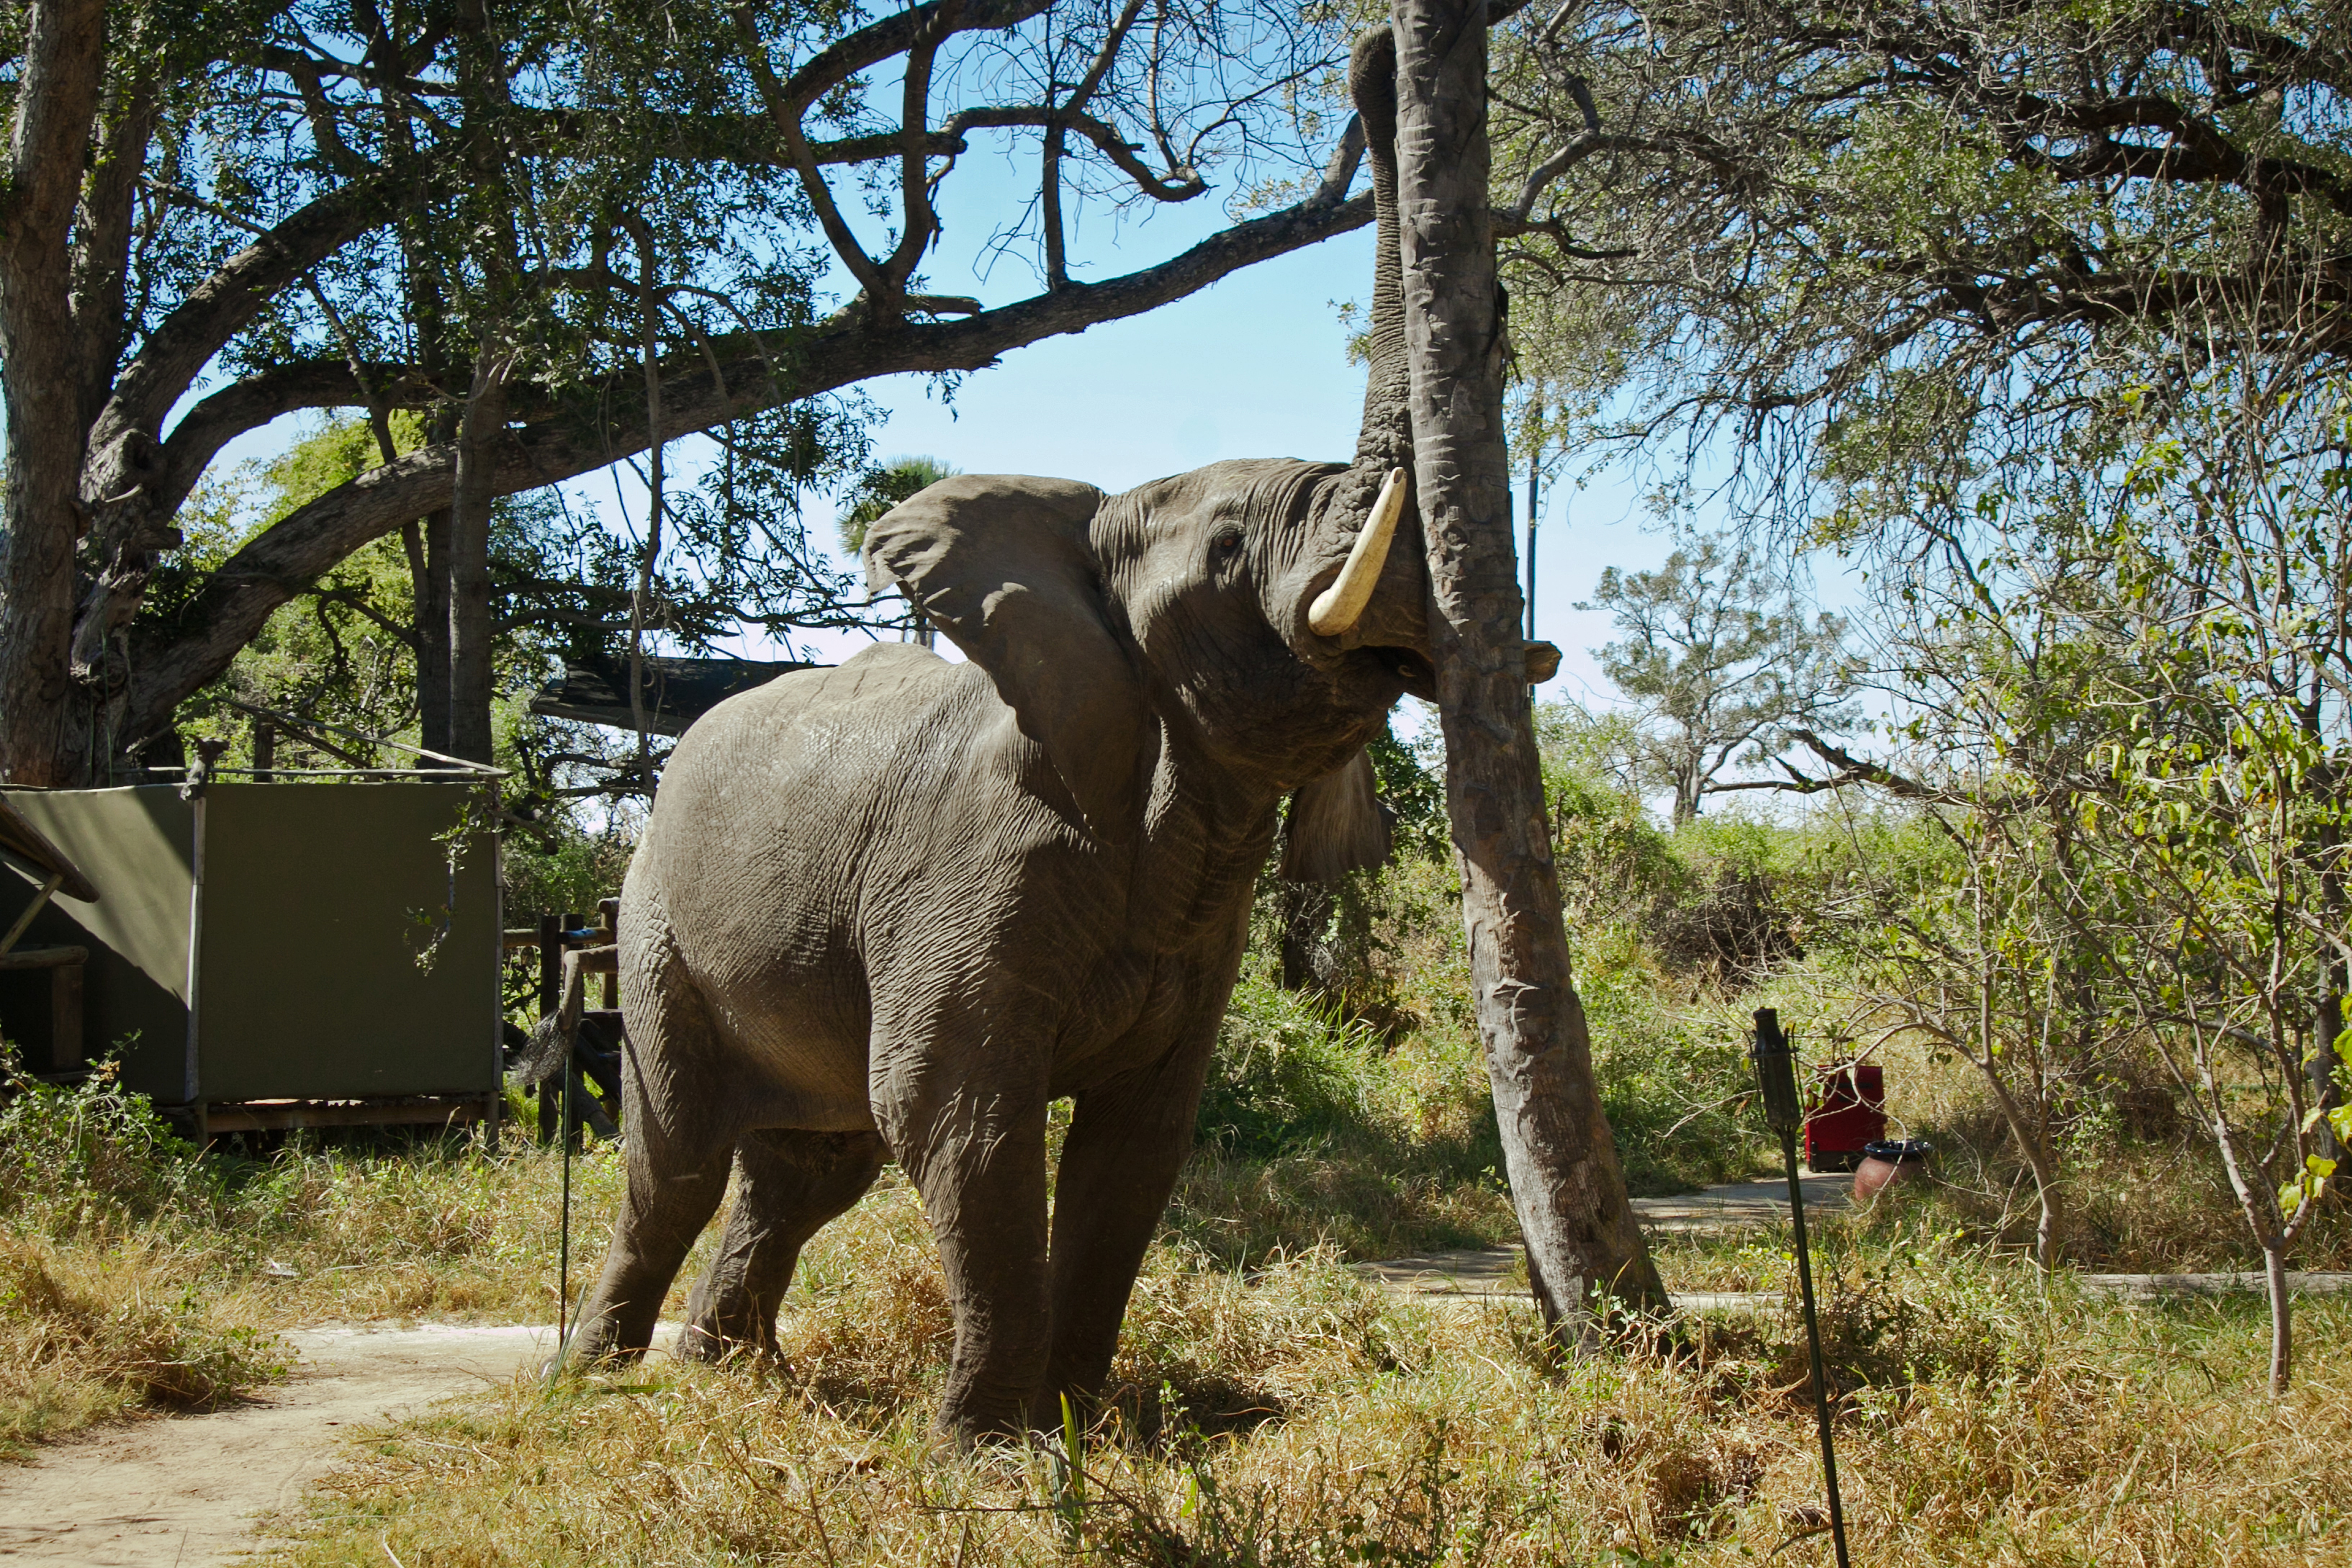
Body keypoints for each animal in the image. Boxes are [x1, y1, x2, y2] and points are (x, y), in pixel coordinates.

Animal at [565, 26, 1540, 1442]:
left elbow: (1135, 1143)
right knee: (676, 1154)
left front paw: (1086, 1420)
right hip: (653, 926)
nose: (1370, 54)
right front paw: (990, 1449)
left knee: (806, 1165)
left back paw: (728, 1369)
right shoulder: (966, 870)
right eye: (1232, 549)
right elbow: (958, 1118)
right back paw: (591, 1376)